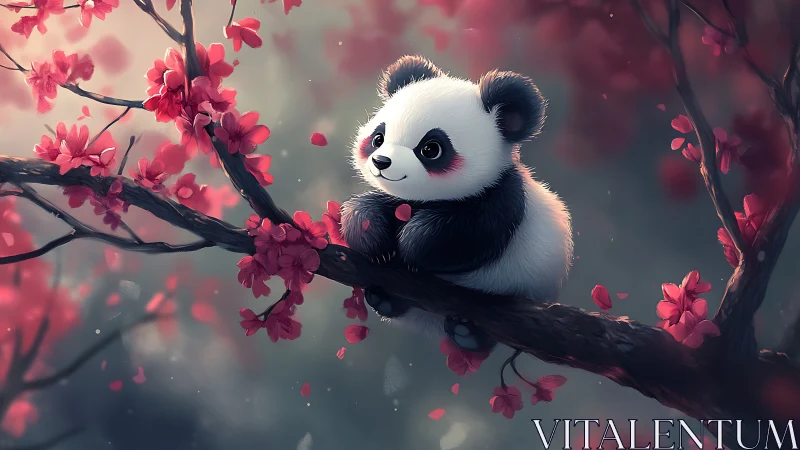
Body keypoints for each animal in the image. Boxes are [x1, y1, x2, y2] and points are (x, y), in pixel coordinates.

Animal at [339, 55, 574, 352]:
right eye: (378, 138)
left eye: (431, 149)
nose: (381, 162)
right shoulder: (402, 199)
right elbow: (367, 208)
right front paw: (375, 241)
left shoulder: (504, 195)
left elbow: (464, 234)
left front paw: (411, 249)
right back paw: (384, 300)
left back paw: (466, 333)